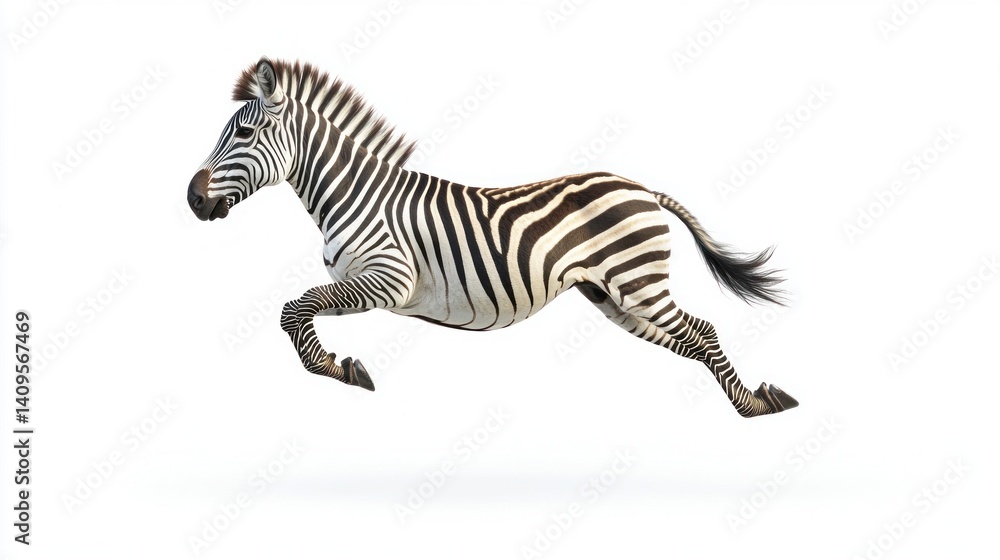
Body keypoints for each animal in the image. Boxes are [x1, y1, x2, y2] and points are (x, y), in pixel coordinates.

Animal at [187, 57, 798, 418]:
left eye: (245, 132)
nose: (192, 199)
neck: (356, 194)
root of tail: (643, 189)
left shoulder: (389, 279)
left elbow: (293, 311)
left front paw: (342, 370)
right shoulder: (359, 283)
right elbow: (299, 315)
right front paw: (341, 364)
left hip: (637, 283)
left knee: (704, 330)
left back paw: (752, 406)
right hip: (612, 296)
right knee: (690, 340)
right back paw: (761, 398)